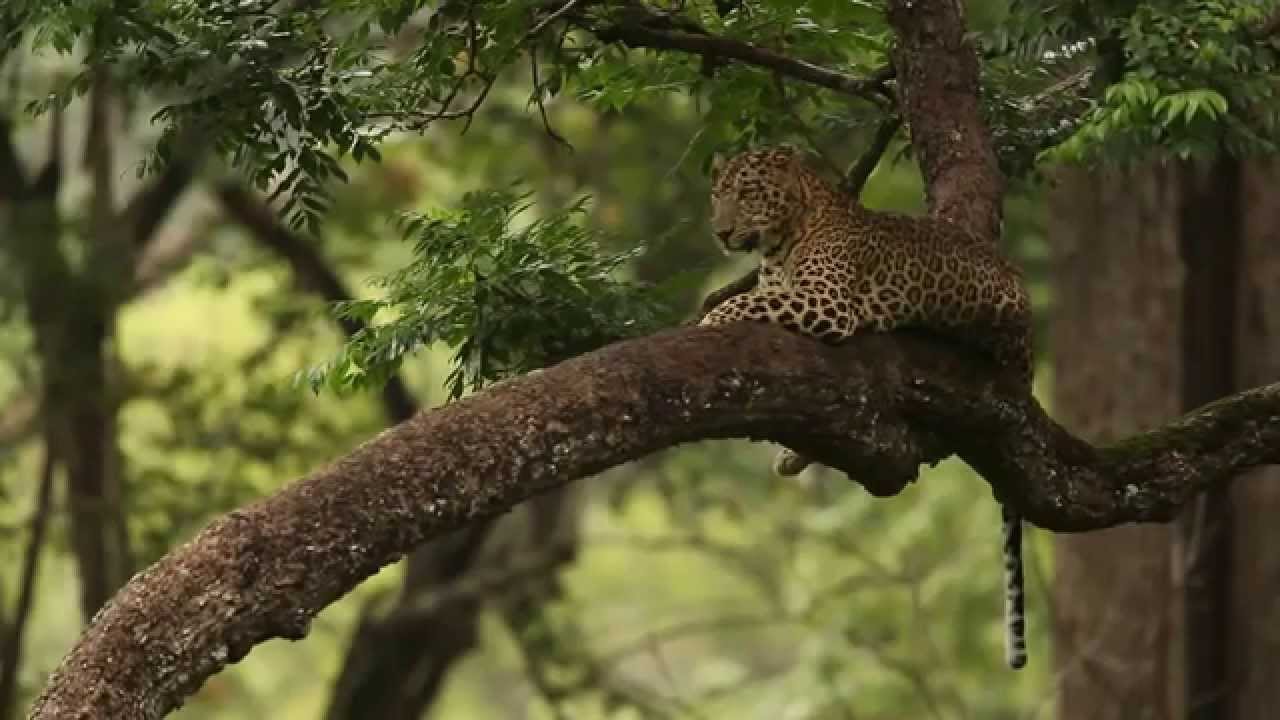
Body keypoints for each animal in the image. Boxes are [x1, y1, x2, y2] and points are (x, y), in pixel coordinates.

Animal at [699, 145, 1034, 670]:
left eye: (748, 192)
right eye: (717, 195)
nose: (721, 231)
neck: (780, 243)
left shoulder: (826, 301)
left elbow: (748, 303)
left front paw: (708, 318)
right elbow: (757, 296)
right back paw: (794, 456)